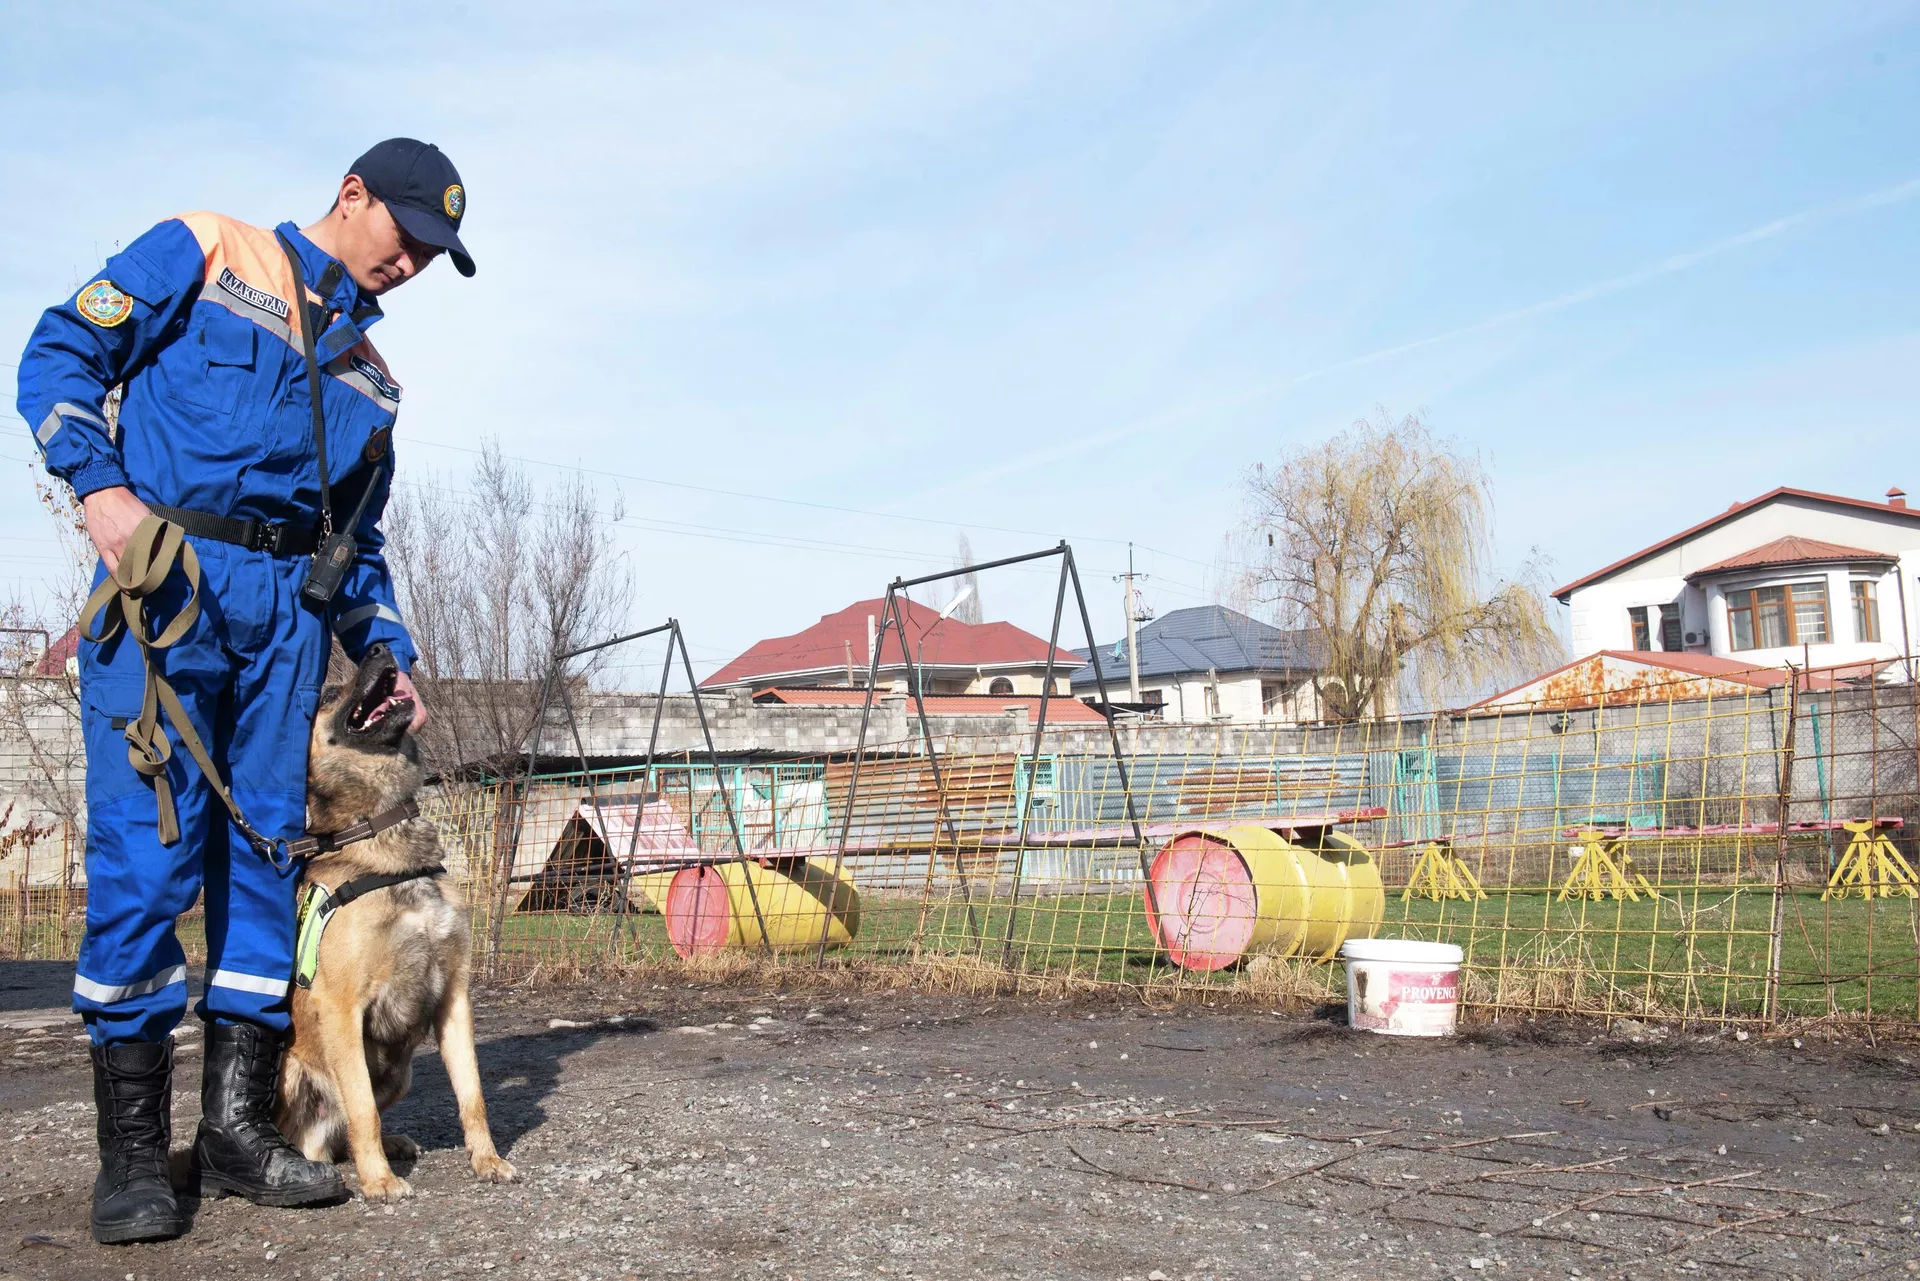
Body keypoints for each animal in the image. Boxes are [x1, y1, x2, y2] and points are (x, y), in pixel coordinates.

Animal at [278, 652, 518, 1206]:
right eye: (328, 694)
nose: (380, 651)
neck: (384, 830)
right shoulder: (341, 1008)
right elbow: (361, 1107)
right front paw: (380, 1181)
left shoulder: (454, 997)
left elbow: (472, 1094)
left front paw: (487, 1160)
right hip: (295, 1076)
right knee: (321, 1136)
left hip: (401, 1073)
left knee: (341, 1135)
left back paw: (392, 1143)